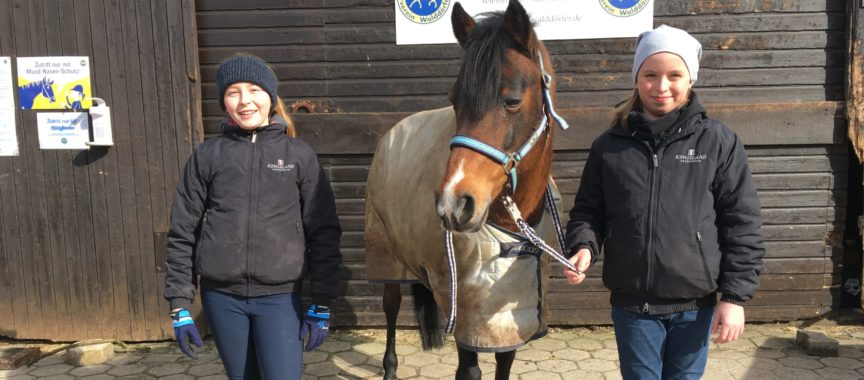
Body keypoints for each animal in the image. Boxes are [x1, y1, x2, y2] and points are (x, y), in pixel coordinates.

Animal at [364, 1, 572, 378]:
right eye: (454, 100)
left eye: (512, 99)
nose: (453, 204)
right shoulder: (464, 314)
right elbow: (469, 370)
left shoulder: (506, 315)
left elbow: (504, 363)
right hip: (386, 256)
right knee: (390, 307)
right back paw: (389, 367)